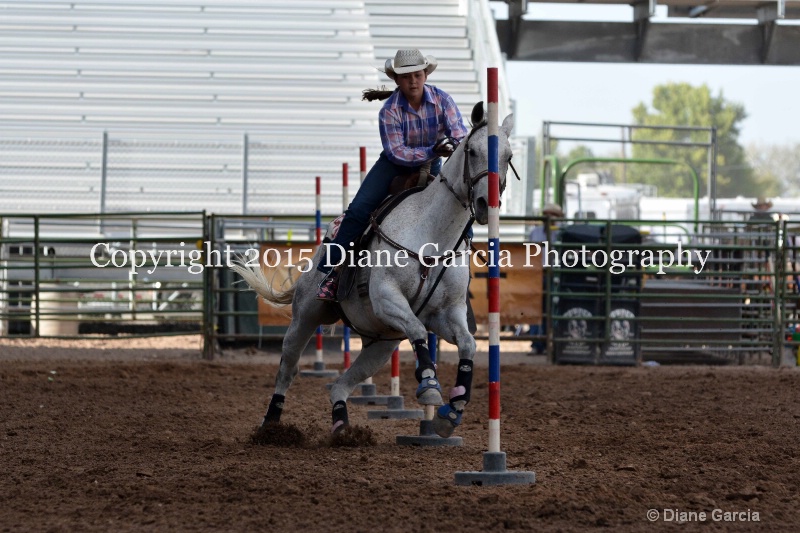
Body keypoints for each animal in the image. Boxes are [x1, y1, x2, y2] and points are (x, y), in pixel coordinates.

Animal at [231, 103, 516, 436]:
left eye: (508, 156)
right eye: (471, 151)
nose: (486, 203)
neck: (432, 236)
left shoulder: (446, 313)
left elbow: (468, 344)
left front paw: (452, 409)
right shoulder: (387, 298)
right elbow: (418, 330)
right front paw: (429, 386)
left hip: (381, 345)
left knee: (340, 385)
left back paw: (342, 426)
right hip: (304, 318)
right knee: (287, 370)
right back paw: (271, 425)